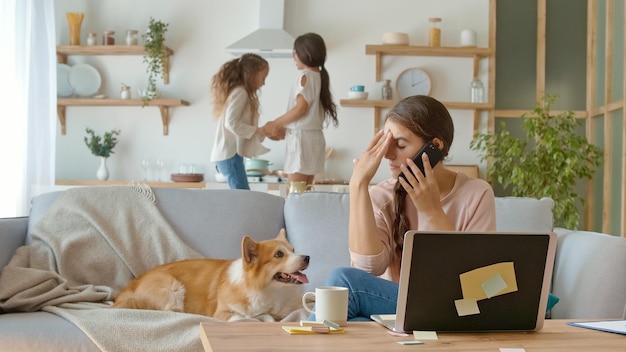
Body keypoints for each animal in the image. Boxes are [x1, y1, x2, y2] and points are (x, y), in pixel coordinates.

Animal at [113, 228, 308, 322]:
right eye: (278, 254)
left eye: (293, 250)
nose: (307, 257)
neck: (271, 291)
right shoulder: (223, 313)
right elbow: (249, 317)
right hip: (172, 288)